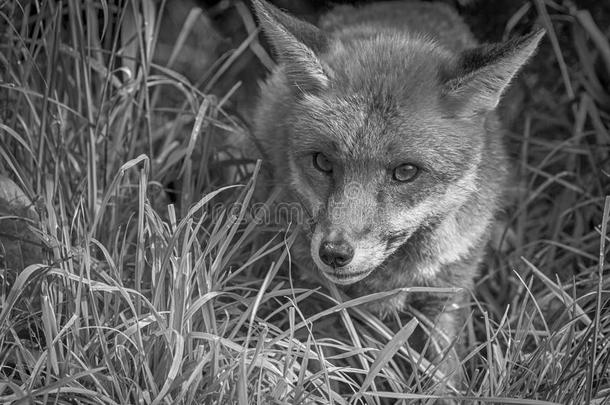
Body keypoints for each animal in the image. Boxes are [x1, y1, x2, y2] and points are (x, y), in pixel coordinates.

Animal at [247, 0, 540, 388]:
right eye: (322, 162)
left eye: (405, 172)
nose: (334, 253)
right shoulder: (314, 292)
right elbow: (322, 367)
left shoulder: (446, 297)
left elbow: (445, 378)